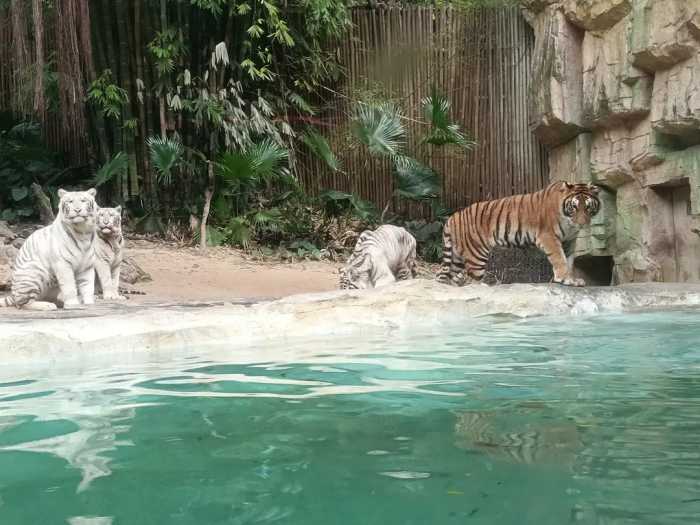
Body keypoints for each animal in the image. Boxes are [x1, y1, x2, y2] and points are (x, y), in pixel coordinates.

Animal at [434, 181, 600, 286]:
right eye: (574, 207)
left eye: (588, 207)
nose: (582, 224)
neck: (569, 223)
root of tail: (452, 217)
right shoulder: (548, 237)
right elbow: (559, 259)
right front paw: (566, 279)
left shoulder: (569, 240)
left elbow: (569, 260)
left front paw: (571, 279)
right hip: (476, 255)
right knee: (472, 281)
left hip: (456, 257)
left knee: (445, 276)